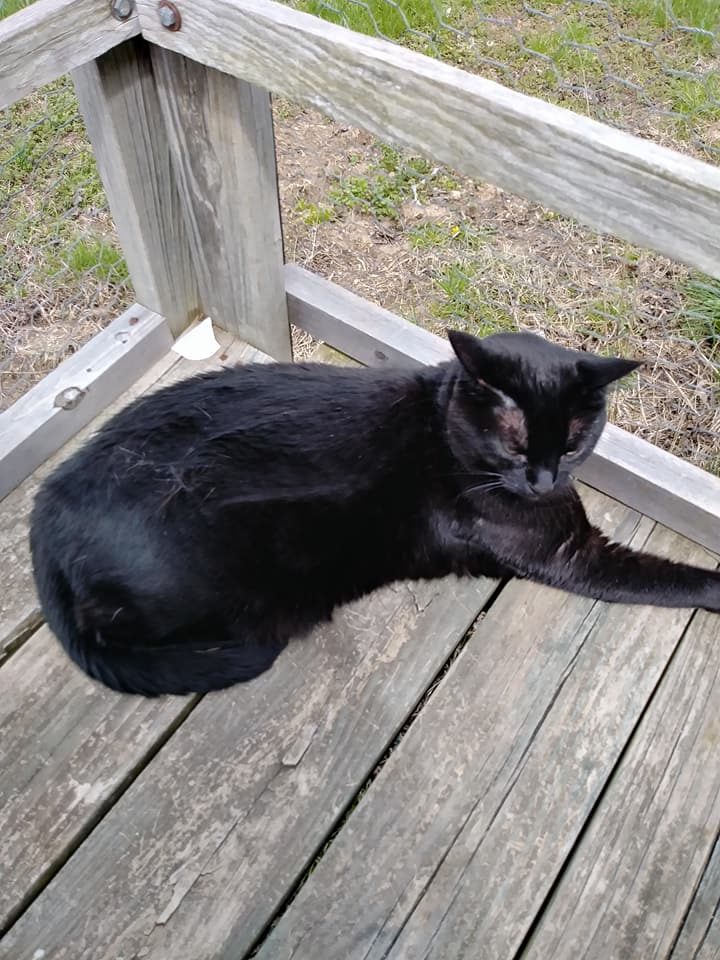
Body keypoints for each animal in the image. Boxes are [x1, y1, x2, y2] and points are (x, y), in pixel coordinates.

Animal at [30, 330, 720, 697]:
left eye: (574, 444)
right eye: (516, 446)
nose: (544, 480)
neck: (444, 427)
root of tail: (47, 506)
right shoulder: (570, 554)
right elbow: (664, 576)